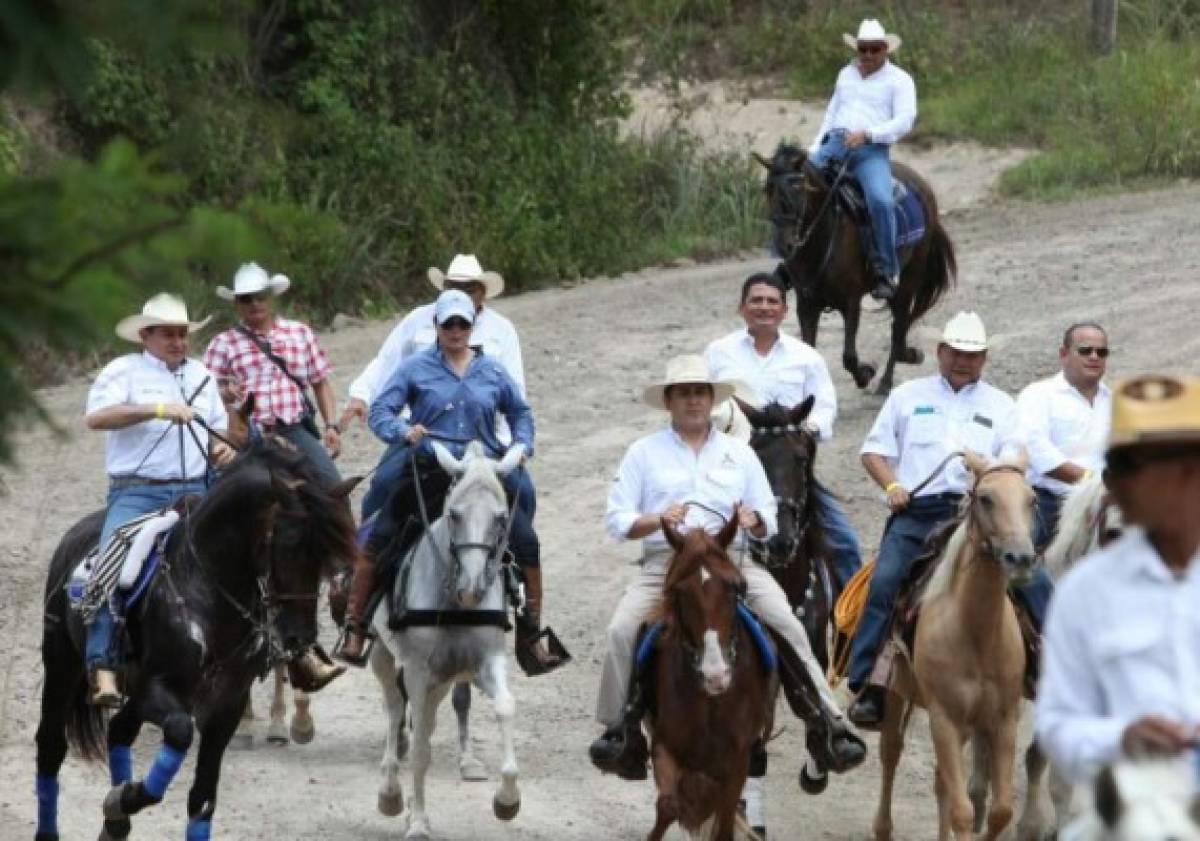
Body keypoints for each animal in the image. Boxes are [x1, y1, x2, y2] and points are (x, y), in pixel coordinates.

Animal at [35, 436, 357, 839]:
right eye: (288, 545)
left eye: (324, 556)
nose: (301, 637)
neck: (204, 589)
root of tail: (73, 538)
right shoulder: (159, 689)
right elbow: (180, 731)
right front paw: (126, 797)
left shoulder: (227, 704)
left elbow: (202, 799)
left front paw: (122, 801)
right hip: (62, 666)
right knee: (51, 746)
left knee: (119, 731)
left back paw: (116, 821)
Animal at [367, 443, 523, 835]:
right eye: (454, 514)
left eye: (501, 518)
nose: (472, 588)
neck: (453, 604)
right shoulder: (417, 670)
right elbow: (421, 749)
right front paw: (419, 823)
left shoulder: (485, 662)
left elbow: (505, 706)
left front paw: (507, 800)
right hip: (383, 657)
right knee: (395, 709)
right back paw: (390, 792)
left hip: (440, 679)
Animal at [648, 518, 768, 839]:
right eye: (679, 593)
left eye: (737, 588)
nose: (716, 674)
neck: (711, 701)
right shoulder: (664, 745)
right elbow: (668, 806)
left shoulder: (738, 761)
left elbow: (724, 824)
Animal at [758, 143, 955, 393]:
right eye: (768, 189)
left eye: (798, 188)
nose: (784, 245)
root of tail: (923, 186)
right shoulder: (806, 304)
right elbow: (809, 349)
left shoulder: (851, 302)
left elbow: (849, 357)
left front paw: (866, 373)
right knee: (899, 328)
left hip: (909, 281)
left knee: (898, 328)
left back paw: (888, 379)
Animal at [873, 453, 1051, 839]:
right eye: (985, 498)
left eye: (1032, 499)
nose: (1020, 558)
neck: (976, 633)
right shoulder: (944, 719)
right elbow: (963, 812)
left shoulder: (1002, 719)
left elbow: (999, 811)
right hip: (896, 693)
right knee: (890, 753)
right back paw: (882, 827)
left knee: (941, 780)